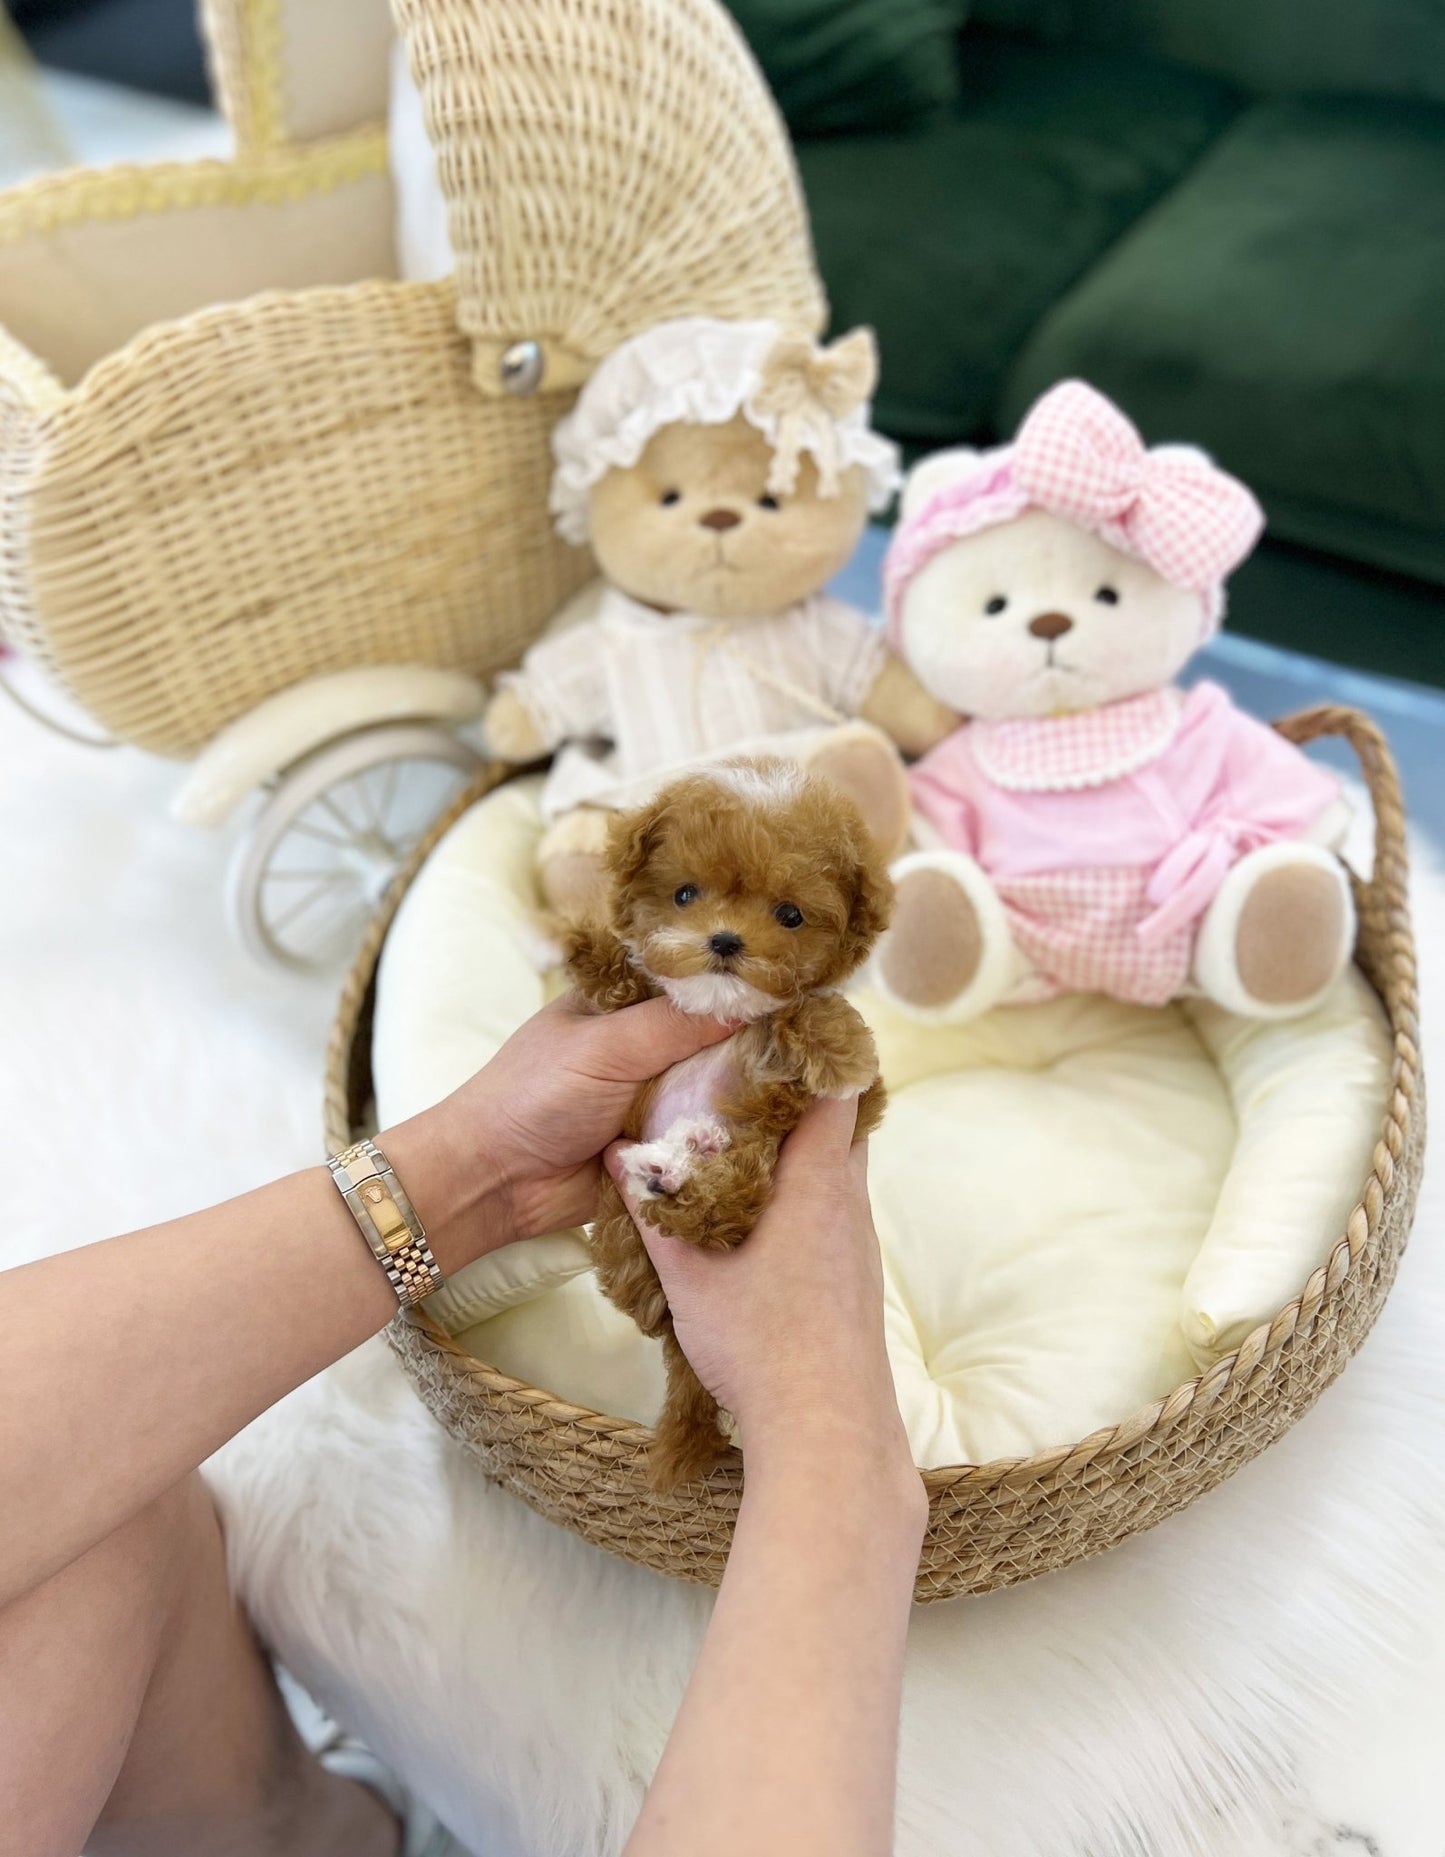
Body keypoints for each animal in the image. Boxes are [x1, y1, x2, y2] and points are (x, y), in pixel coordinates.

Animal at [564, 753, 887, 1493]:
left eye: (790, 914)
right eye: (685, 894)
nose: (724, 940)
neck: (722, 1011)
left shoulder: (830, 1102)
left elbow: (805, 1013)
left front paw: (840, 1049)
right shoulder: (630, 1011)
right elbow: (620, 986)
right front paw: (587, 946)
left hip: (753, 1158)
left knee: (724, 1212)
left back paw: (680, 1163)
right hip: (623, 1236)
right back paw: (670, 1164)